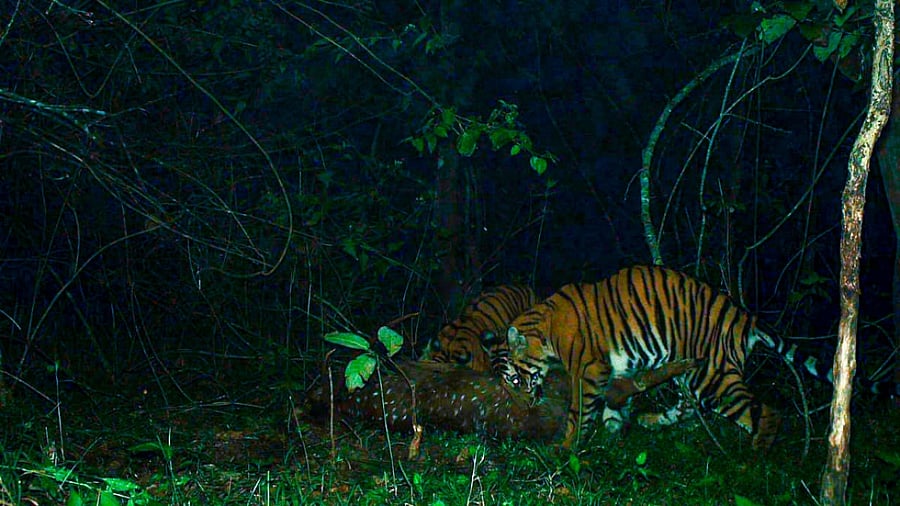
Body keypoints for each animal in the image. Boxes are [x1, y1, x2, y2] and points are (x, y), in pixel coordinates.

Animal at [502, 264, 837, 451]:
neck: (544, 330)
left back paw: (756, 460)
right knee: (687, 407)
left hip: (712, 377)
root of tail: (745, 315)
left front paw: (566, 448)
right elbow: (614, 402)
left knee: (766, 414)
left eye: (516, 379)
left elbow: (579, 411)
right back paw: (650, 421)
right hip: (697, 374)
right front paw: (614, 433)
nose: (523, 408)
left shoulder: (589, 369)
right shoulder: (616, 369)